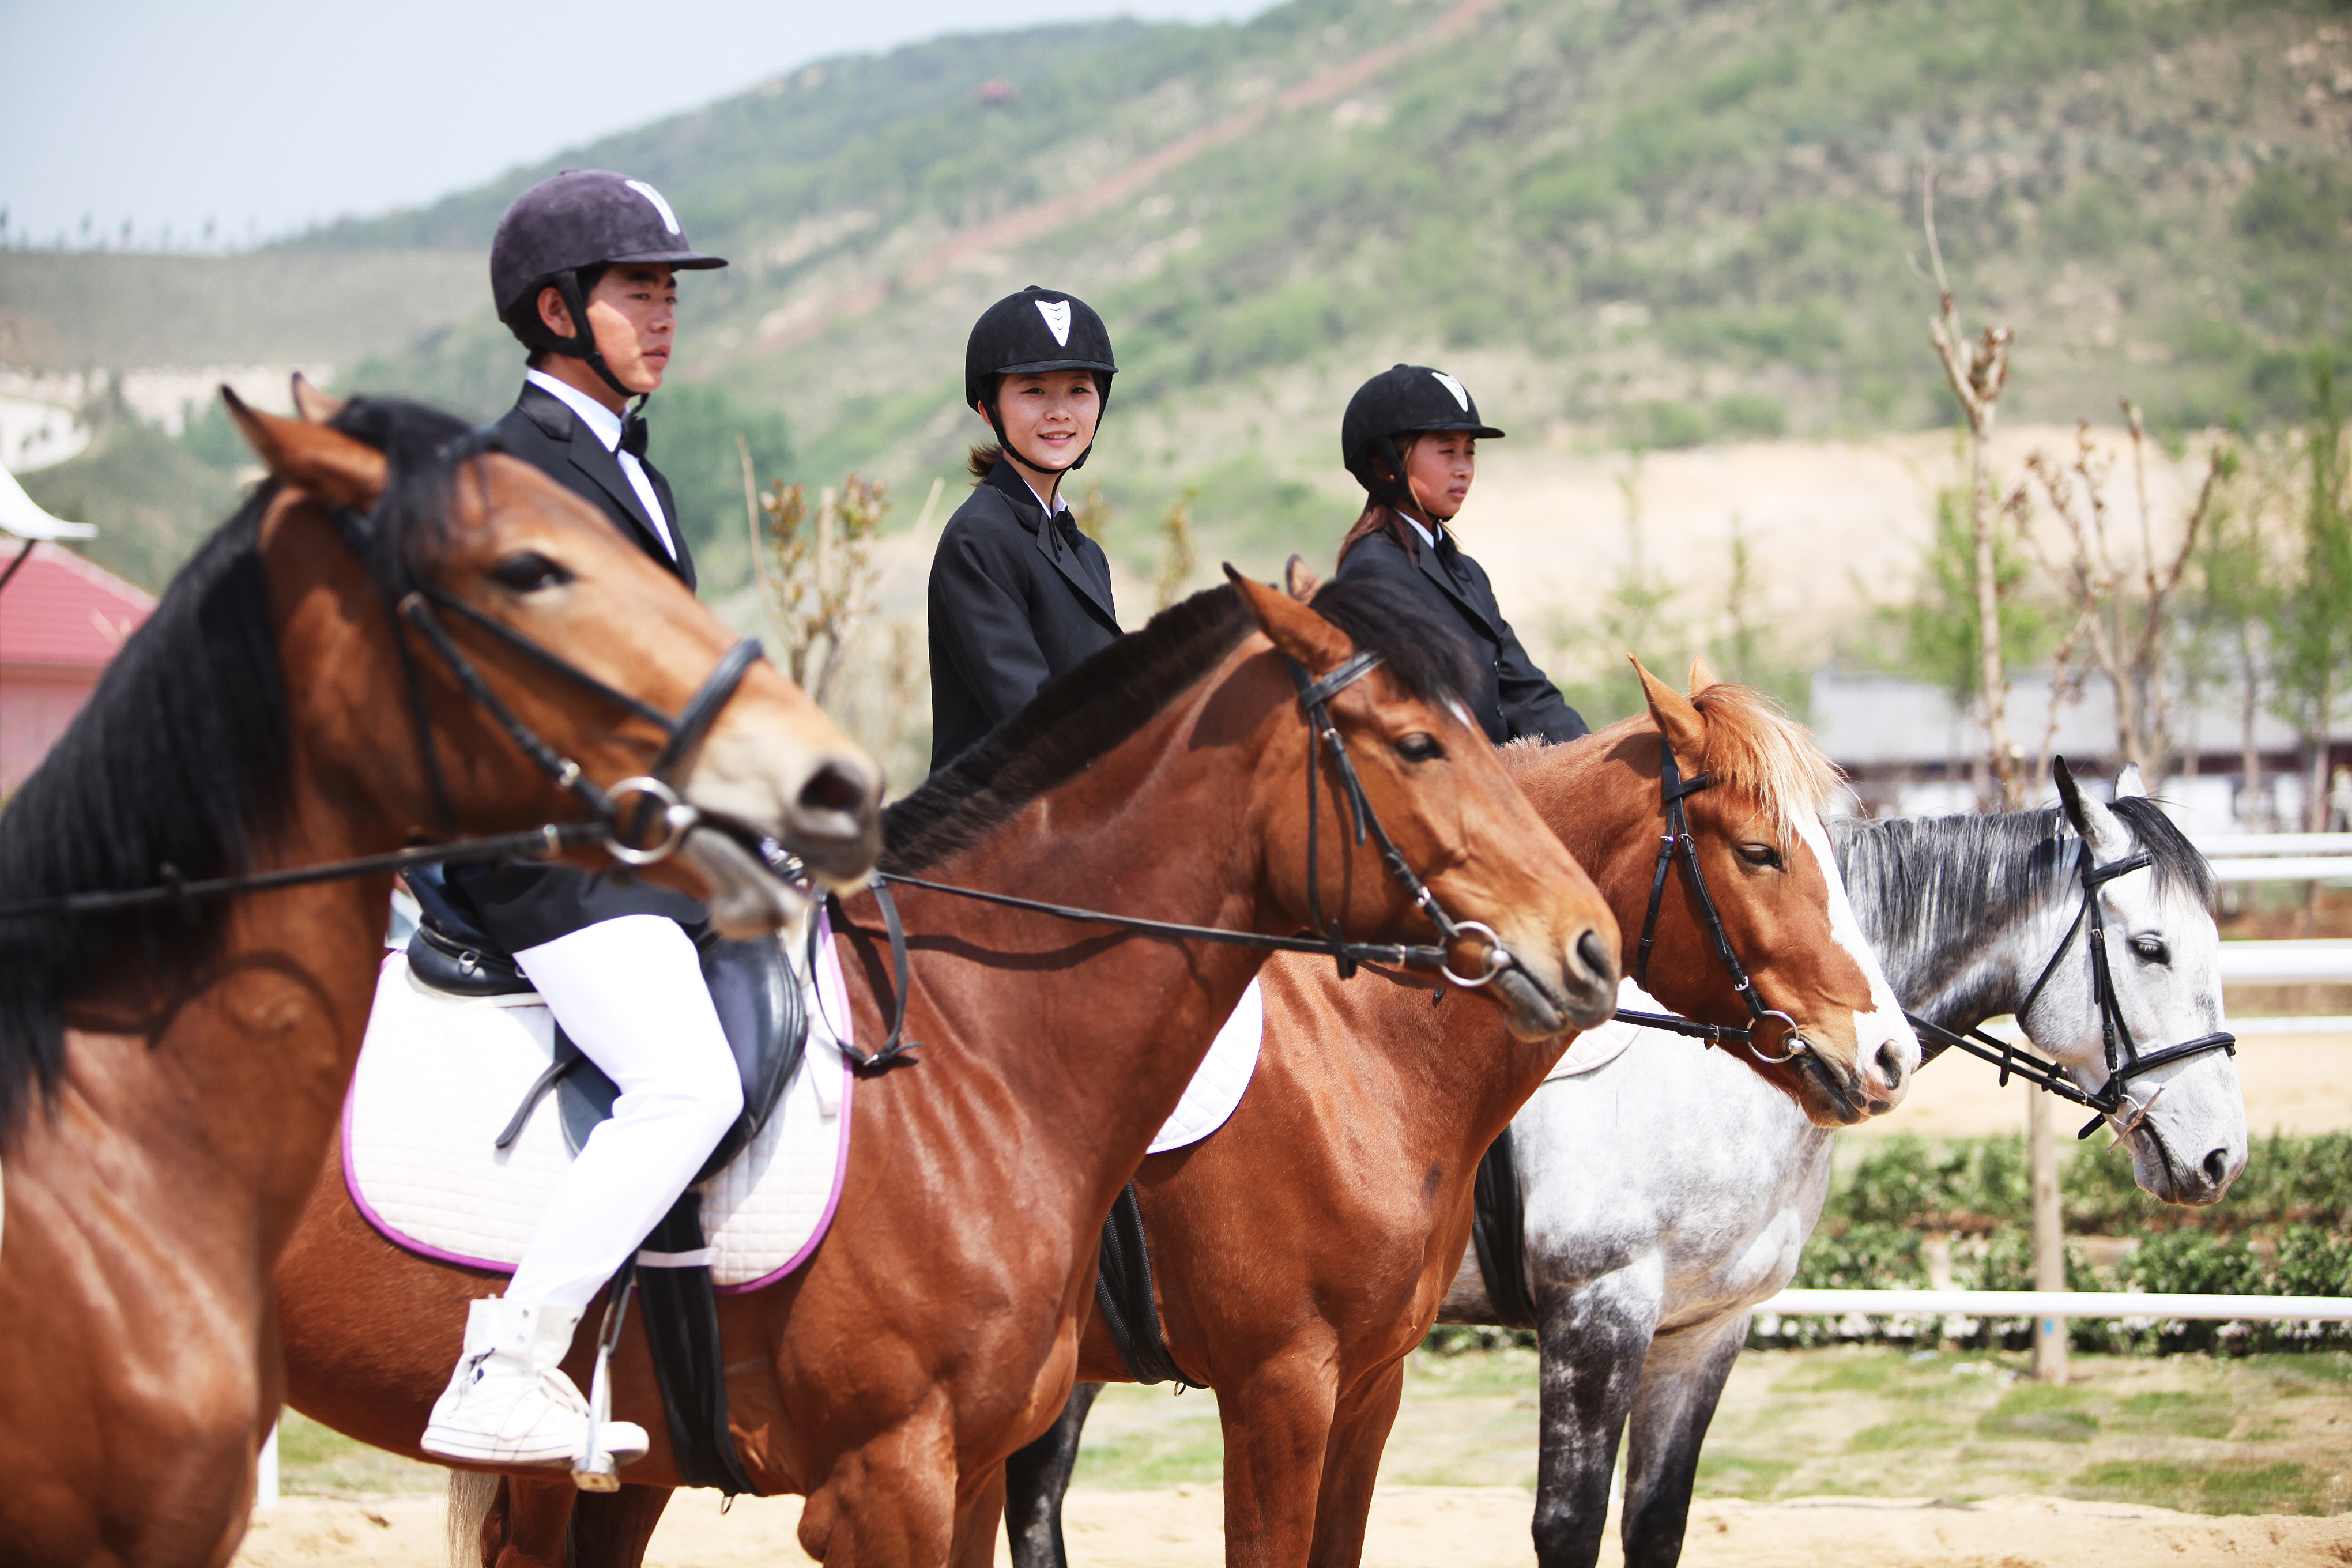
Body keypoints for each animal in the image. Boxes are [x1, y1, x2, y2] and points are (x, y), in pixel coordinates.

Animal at [1002, 658, 1921, 1568]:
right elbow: (1569, 1522)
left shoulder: (1398, 1378)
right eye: (1759, 852)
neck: (1359, 1045)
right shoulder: (1296, 1383)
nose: (1889, 1055)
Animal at [1433, 759, 2244, 1568]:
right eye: (2150, 947)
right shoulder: (1597, 1312)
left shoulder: (1703, 1327)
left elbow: (1656, 1520)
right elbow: (1569, 1524)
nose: (2222, 1156)